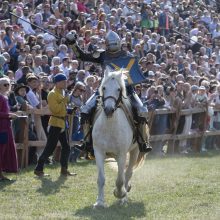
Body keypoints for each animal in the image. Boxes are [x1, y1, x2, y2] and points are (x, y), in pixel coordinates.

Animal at [92, 69, 146, 208]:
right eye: (104, 87)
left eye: (118, 89)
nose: (109, 110)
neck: (110, 126)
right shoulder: (99, 152)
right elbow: (101, 178)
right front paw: (99, 202)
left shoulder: (122, 153)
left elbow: (120, 179)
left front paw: (120, 194)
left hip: (134, 151)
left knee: (128, 173)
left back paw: (124, 198)